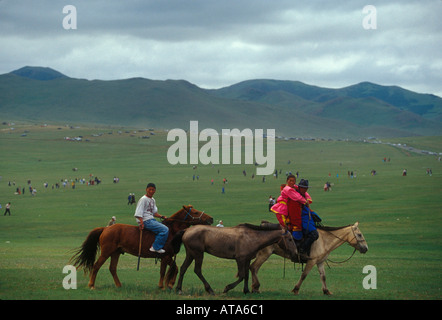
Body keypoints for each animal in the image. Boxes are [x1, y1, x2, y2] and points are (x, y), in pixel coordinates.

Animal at [70, 205, 213, 290]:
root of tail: (105, 228)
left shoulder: (164, 257)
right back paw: (91, 285)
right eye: (196, 212)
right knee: (96, 266)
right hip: (106, 252)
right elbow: (174, 268)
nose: (211, 218)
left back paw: (119, 285)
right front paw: (169, 284)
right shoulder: (166, 256)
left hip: (116, 253)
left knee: (112, 268)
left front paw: (163, 285)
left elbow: (166, 271)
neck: (171, 231)